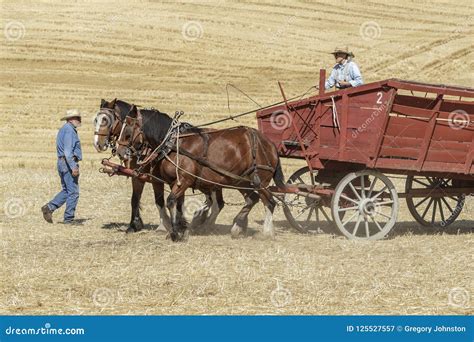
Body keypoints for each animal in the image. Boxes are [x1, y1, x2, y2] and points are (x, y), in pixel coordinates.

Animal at [94, 99, 224, 232]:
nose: (97, 144)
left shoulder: (155, 179)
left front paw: (164, 225)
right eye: (96, 120)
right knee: (214, 202)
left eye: (106, 120)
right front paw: (134, 225)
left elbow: (159, 201)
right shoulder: (139, 176)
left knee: (217, 203)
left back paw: (205, 224)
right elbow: (135, 199)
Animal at [115, 105, 286, 242]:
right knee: (252, 199)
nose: (119, 151)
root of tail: (269, 144)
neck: (172, 144)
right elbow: (179, 205)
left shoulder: (183, 181)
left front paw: (175, 232)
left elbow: (170, 201)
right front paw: (182, 228)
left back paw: (266, 232)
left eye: (128, 129)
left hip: (259, 180)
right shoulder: (174, 182)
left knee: (270, 202)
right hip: (240, 181)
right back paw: (236, 227)